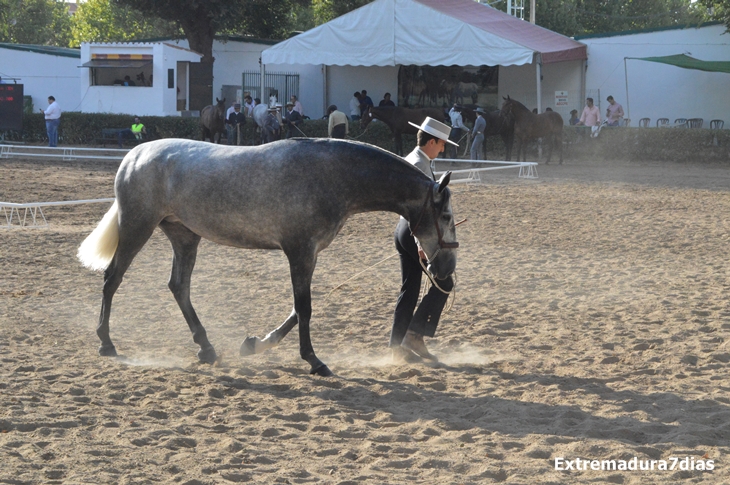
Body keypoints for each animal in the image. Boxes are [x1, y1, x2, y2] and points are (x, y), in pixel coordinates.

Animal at [77, 138, 458, 376]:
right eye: (446, 216)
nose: (447, 272)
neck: (332, 174)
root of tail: (133, 156)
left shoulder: (308, 255)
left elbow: (296, 309)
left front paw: (255, 345)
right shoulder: (299, 251)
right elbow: (304, 308)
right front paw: (314, 361)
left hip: (184, 236)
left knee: (178, 287)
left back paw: (207, 348)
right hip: (137, 227)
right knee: (113, 278)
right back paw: (106, 343)